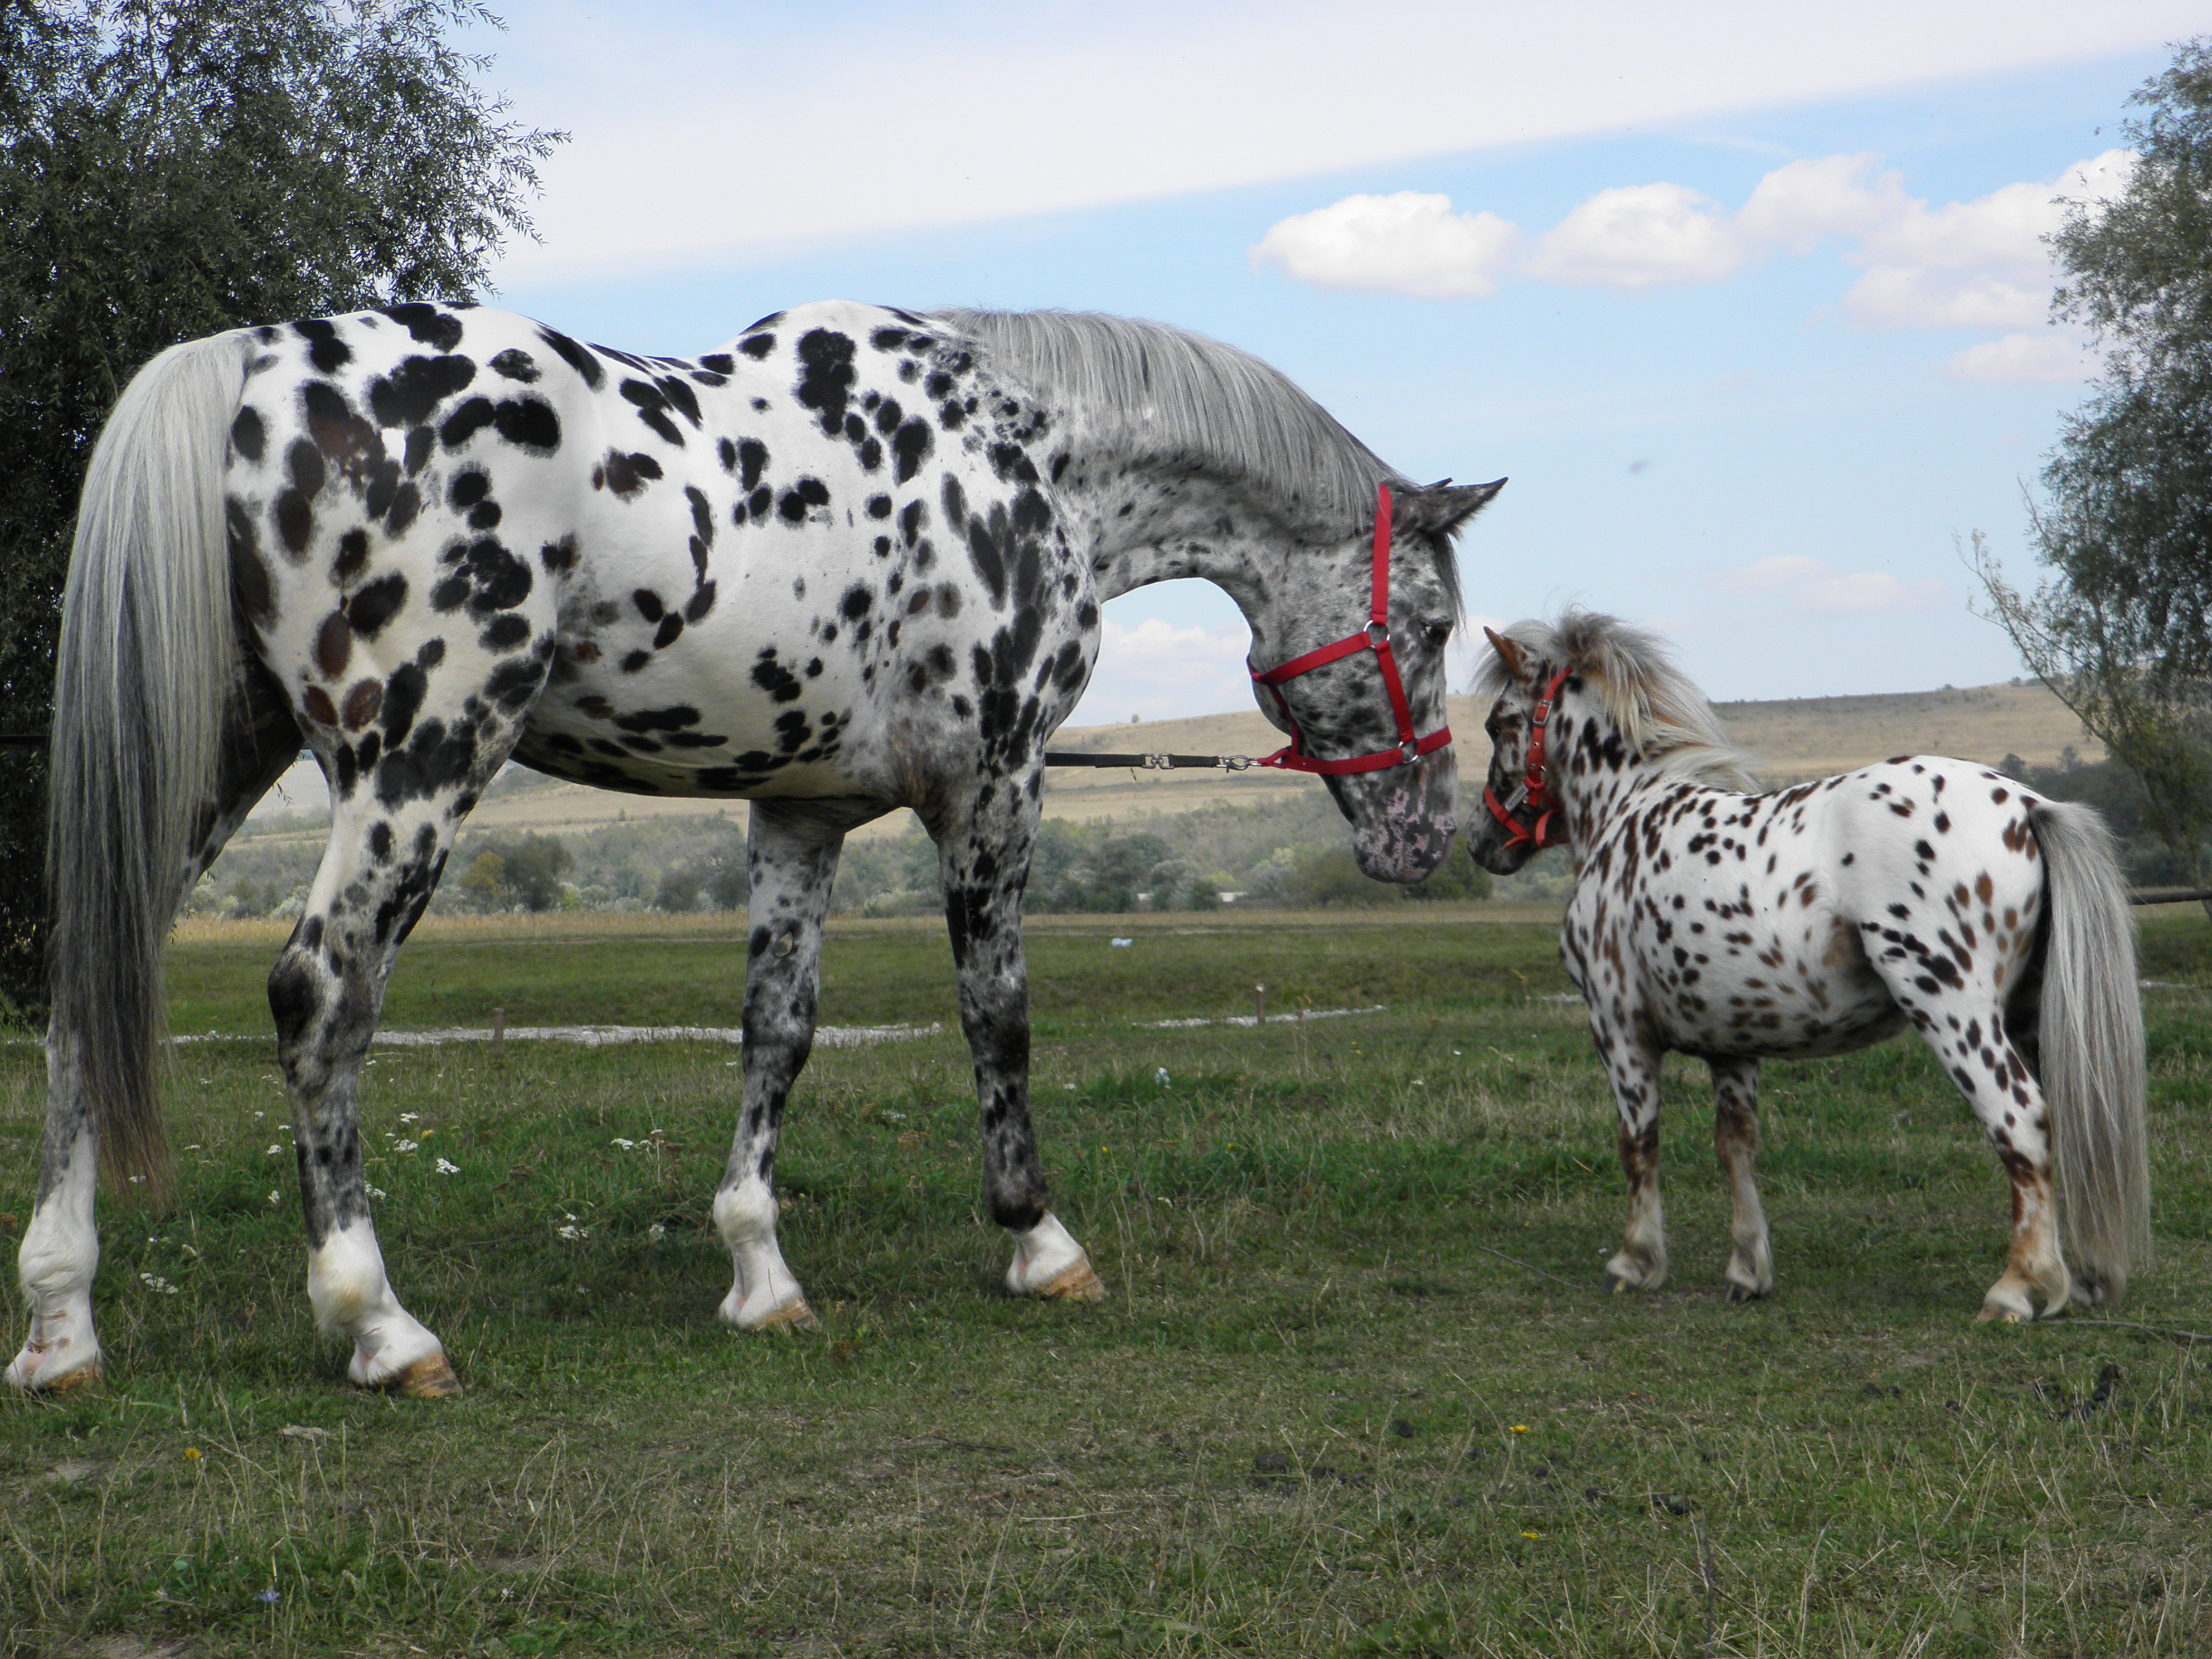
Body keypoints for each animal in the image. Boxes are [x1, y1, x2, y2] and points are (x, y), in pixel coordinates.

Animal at [8, 305, 1504, 1398]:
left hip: (210, 759)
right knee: (322, 998)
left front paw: (758, 1271)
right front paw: (1038, 1240)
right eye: (1431, 627)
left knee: (89, 988)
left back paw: (63, 1328)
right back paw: (382, 1325)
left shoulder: (798, 813)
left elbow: (776, 1029)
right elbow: (997, 1014)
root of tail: (248, 365)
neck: (1023, 455)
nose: (1433, 833)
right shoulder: (994, 788)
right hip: (419, 765)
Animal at [1459, 610, 2150, 1327]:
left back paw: (2016, 1289)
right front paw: (1746, 1271)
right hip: (2031, 1016)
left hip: (1952, 1011)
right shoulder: (1730, 1046)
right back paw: (2083, 1280)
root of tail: (2025, 807)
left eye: (1500, 724)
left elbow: (1637, 1144)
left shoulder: (1618, 1030)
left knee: (2019, 1121)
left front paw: (1636, 1262)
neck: (1627, 813)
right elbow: (1735, 1148)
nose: (1479, 841)